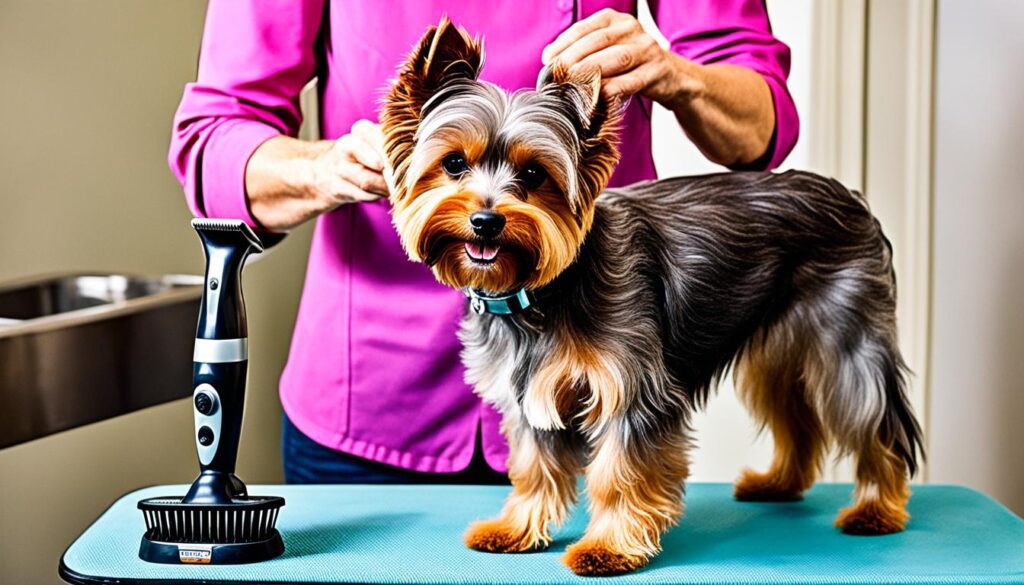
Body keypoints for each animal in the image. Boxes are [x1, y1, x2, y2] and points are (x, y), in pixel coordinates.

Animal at [380, 18, 925, 577]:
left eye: (533, 174)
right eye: (453, 164)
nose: (486, 220)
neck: (540, 291)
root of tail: (853, 200)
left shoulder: (634, 390)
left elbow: (619, 472)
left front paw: (609, 547)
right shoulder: (531, 395)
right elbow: (534, 468)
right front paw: (516, 529)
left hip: (845, 341)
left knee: (874, 423)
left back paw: (877, 510)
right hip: (777, 349)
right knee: (797, 421)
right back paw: (779, 484)